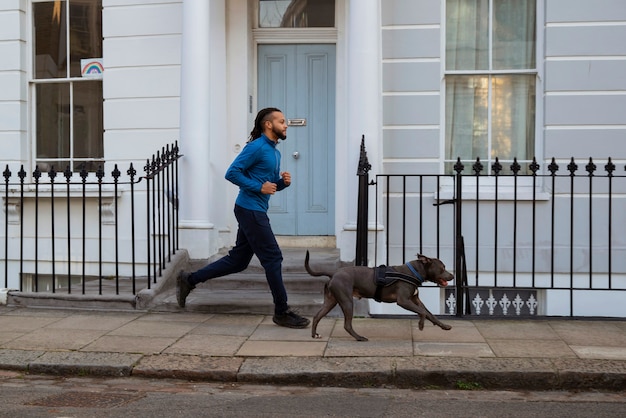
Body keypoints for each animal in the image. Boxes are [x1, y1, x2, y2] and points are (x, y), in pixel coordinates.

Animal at [304, 250, 450, 342]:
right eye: (443, 267)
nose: (452, 275)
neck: (414, 272)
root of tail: (333, 273)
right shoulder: (403, 301)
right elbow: (422, 313)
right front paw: (420, 325)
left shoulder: (416, 300)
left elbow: (429, 313)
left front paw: (444, 326)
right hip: (347, 301)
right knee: (347, 325)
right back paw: (360, 338)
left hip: (331, 301)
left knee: (317, 316)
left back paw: (314, 335)